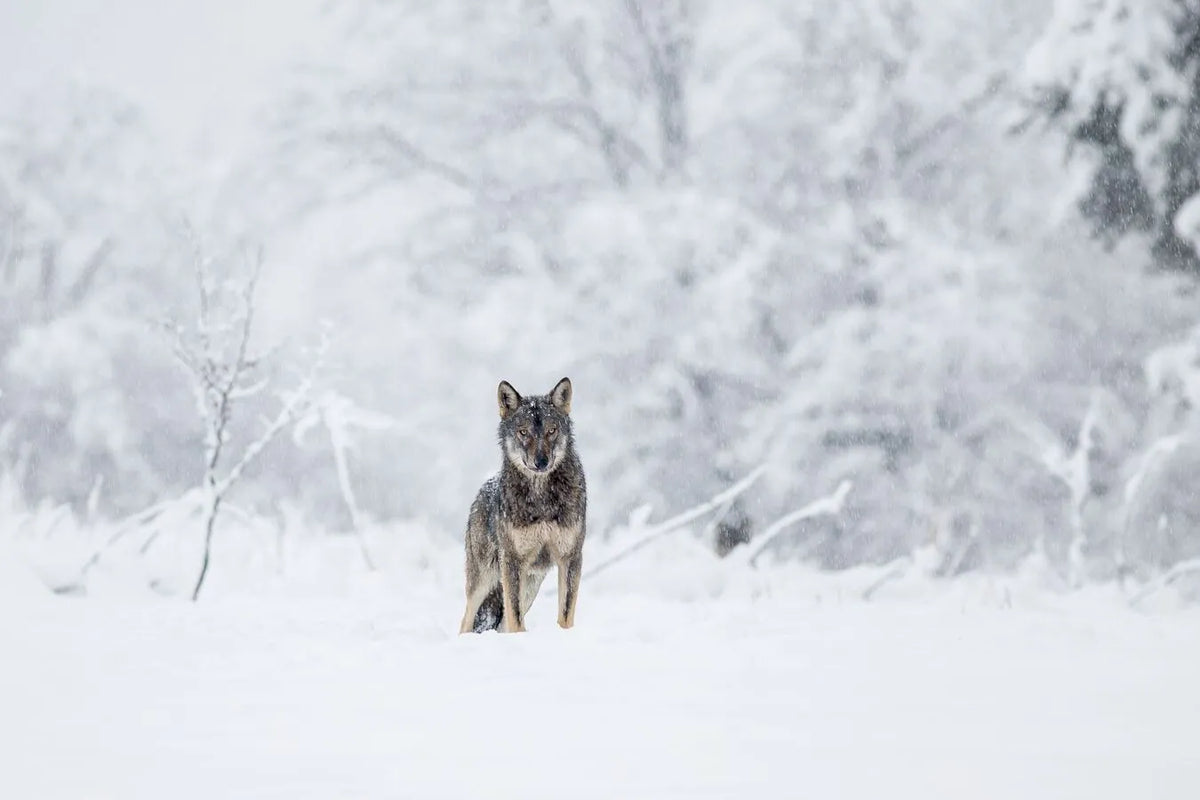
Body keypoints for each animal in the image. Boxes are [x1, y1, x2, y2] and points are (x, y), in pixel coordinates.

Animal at [459, 377, 587, 634]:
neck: (542, 498)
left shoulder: (571, 558)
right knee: (466, 620)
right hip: (484, 580)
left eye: (551, 431)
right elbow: (516, 619)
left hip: (530, 585)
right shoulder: (512, 561)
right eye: (523, 432)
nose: (541, 462)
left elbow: (565, 615)